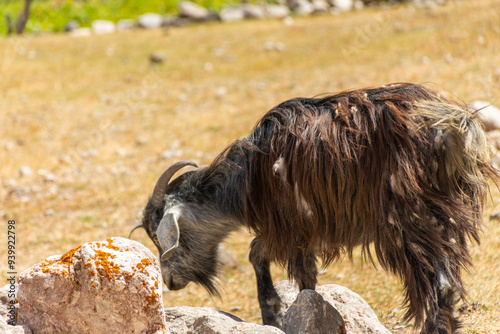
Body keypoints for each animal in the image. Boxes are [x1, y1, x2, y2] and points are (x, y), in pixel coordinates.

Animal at [137, 83, 496, 334]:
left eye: (162, 236)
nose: (169, 281)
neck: (247, 177)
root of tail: (452, 126)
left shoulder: (291, 224)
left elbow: (288, 268)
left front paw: (280, 313)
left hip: (409, 217)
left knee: (437, 282)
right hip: (448, 212)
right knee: (449, 277)